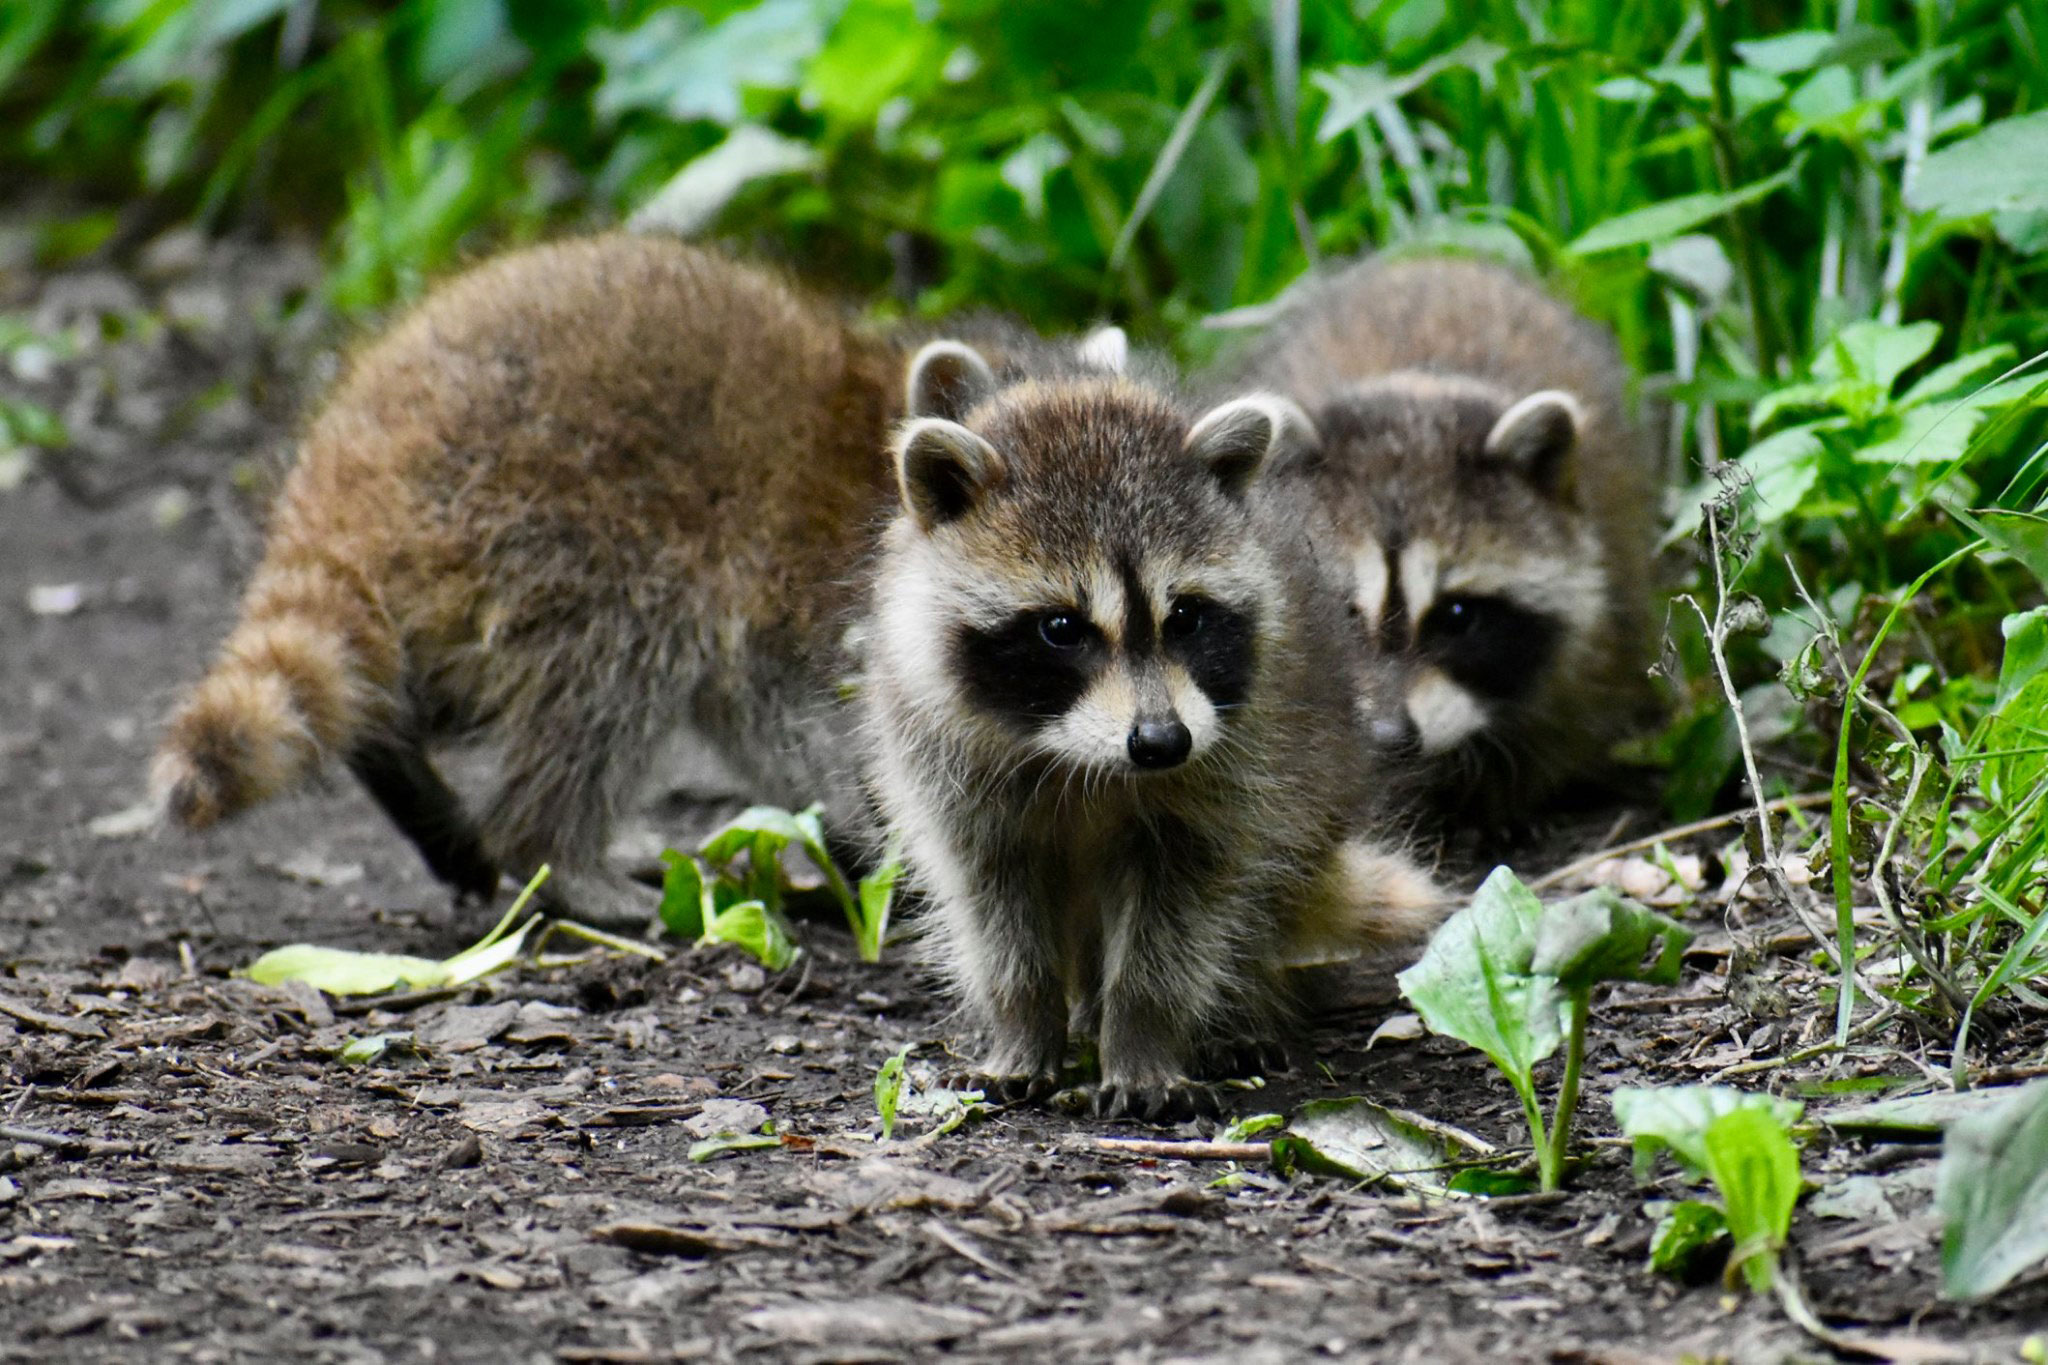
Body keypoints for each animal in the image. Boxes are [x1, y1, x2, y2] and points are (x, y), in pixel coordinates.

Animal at [872, 343, 1449, 1121]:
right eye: (1061, 628)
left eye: (1186, 617)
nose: (1161, 742)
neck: (1078, 754)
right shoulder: (947, 765)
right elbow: (995, 906)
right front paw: (1023, 1028)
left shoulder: (1237, 764)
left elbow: (1184, 909)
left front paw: (1143, 1036)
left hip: (1311, 791)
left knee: (1257, 894)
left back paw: (1234, 1011)